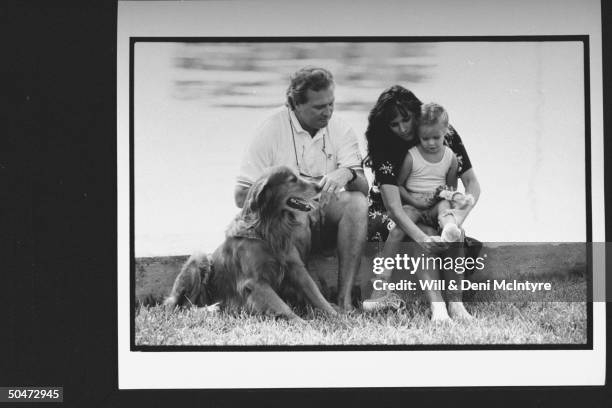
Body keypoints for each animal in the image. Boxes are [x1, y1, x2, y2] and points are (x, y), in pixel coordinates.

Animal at [165, 166, 338, 322]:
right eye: (292, 179)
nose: (320, 186)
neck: (269, 229)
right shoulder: (255, 282)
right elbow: (283, 307)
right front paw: (302, 324)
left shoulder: (296, 268)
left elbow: (316, 294)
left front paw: (337, 316)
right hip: (199, 258)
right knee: (181, 307)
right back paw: (210, 309)